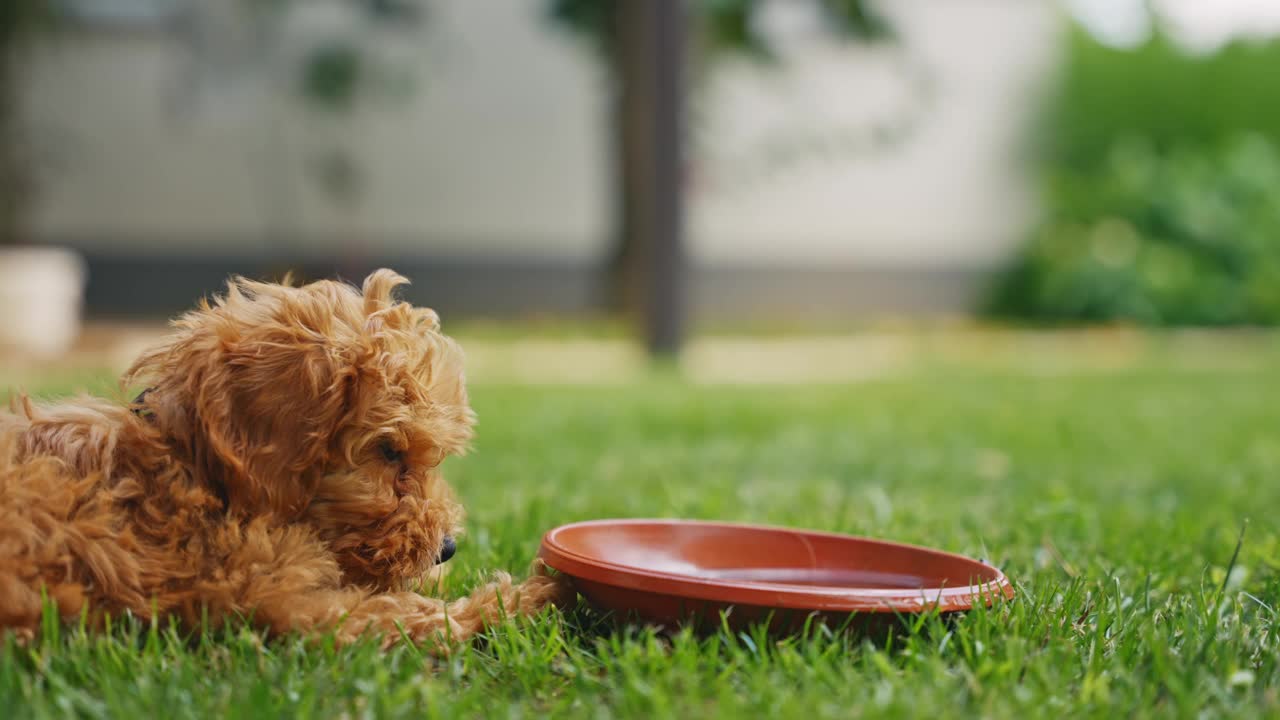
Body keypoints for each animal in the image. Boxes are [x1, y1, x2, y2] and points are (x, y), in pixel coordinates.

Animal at [0, 267, 570, 645]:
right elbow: (403, 614)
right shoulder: (275, 599)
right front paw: (527, 597)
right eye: (389, 450)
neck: (190, 467)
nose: (447, 549)